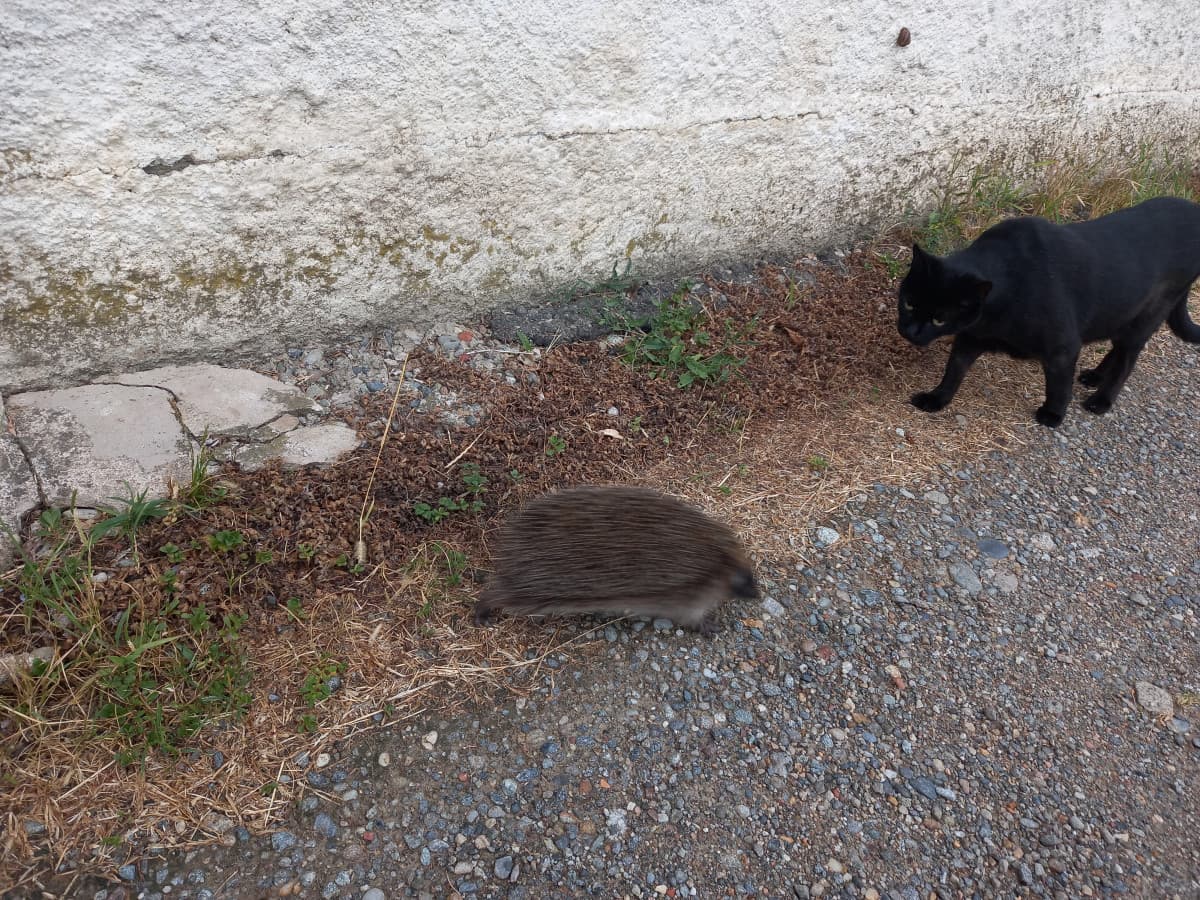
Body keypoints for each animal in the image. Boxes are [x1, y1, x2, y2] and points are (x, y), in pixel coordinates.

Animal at [902, 195, 1200, 427]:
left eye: (939, 319)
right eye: (908, 304)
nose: (910, 331)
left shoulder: (1062, 347)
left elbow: (1059, 384)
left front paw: (1053, 415)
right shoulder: (972, 336)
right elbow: (954, 370)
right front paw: (936, 398)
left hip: (1145, 317)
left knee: (1126, 360)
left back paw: (1101, 400)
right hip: (1119, 315)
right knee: (1116, 349)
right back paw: (1094, 376)